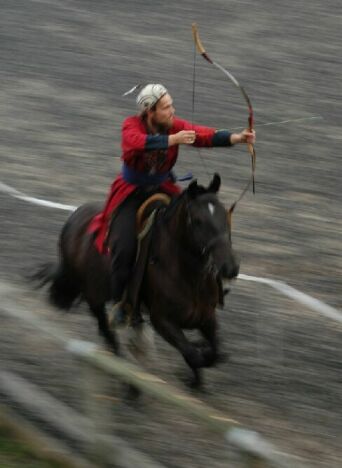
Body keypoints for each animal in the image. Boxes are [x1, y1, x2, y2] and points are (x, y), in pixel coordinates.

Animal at [34, 174, 238, 386]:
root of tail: (73, 220)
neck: (188, 278)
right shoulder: (163, 321)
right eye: (198, 221)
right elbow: (193, 355)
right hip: (94, 299)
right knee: (108, 334)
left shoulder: (207, 318)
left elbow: (213, 352)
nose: (230, 267)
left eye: (225, 215)